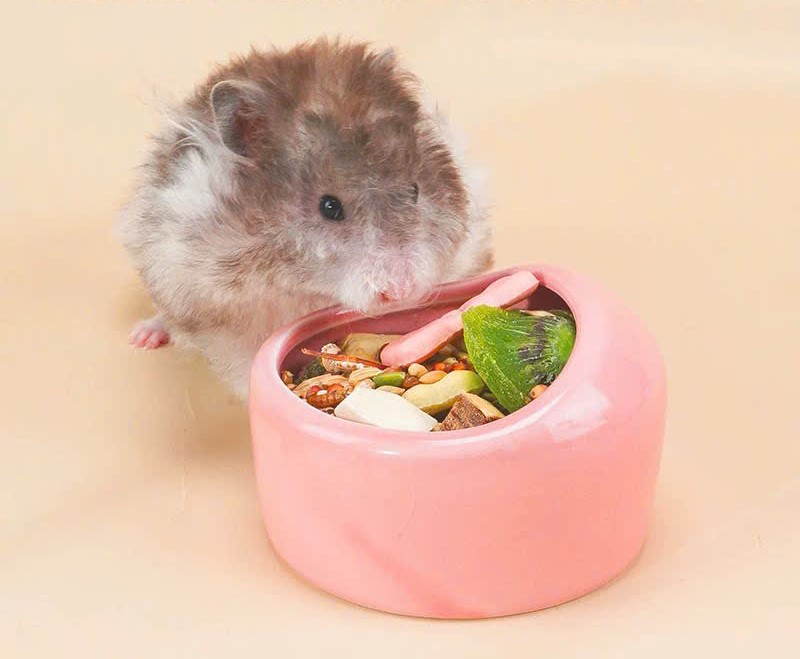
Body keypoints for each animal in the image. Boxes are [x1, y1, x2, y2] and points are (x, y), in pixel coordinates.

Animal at [119, 39, 493, 397]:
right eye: (329, 207)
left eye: (415, 190)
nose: (403, 291)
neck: (308, 286)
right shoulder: (217, 312)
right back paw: (143, 337)